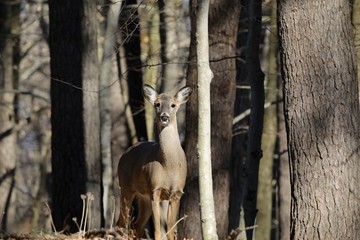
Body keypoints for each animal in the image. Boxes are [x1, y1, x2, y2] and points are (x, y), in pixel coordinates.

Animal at [117, 83, 191, 239]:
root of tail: (124, 154)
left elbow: (170, 230)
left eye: (173, 105)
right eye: (157, 104)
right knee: (122, 223)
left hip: (142, 196)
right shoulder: (155, 190)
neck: (169, 166)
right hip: (125, 187)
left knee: (136, 226)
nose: (164, 116)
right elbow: (157, 230)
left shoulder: (176, 193)